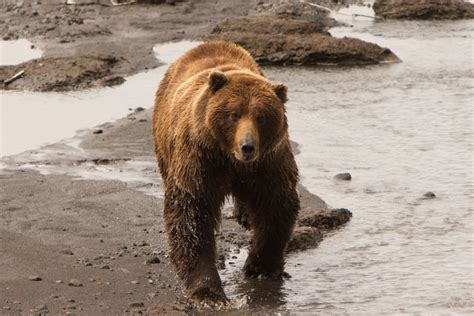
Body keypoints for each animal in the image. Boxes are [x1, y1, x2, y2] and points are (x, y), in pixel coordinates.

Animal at [153, 40, 300, 304]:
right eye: (234, 114)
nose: (247, 146)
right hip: (164, 140)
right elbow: (192, 212)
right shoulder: (201, 158)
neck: (230, 158)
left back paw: (244, 215)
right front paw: (208, 292)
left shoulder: (267, 162)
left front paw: (260, 267)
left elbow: (275, 203)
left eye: (261, 116)